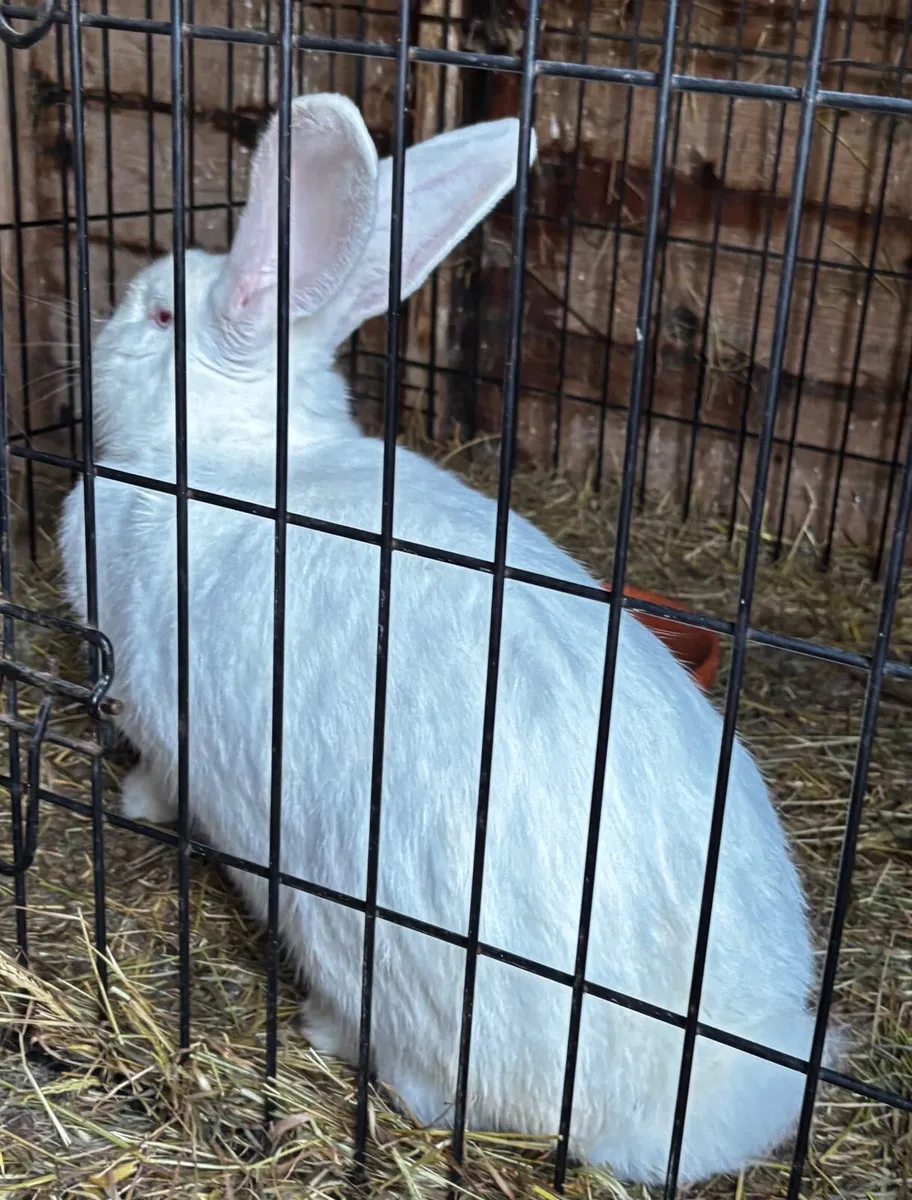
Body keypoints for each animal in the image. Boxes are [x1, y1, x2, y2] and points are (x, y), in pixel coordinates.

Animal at [57, 92, 830, 1185]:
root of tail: (685, 1093)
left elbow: (160, 779)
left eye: (161, 315)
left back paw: (326, 1031)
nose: (109, 314)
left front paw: (130, 803)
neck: (239, 458)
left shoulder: (159, 713)